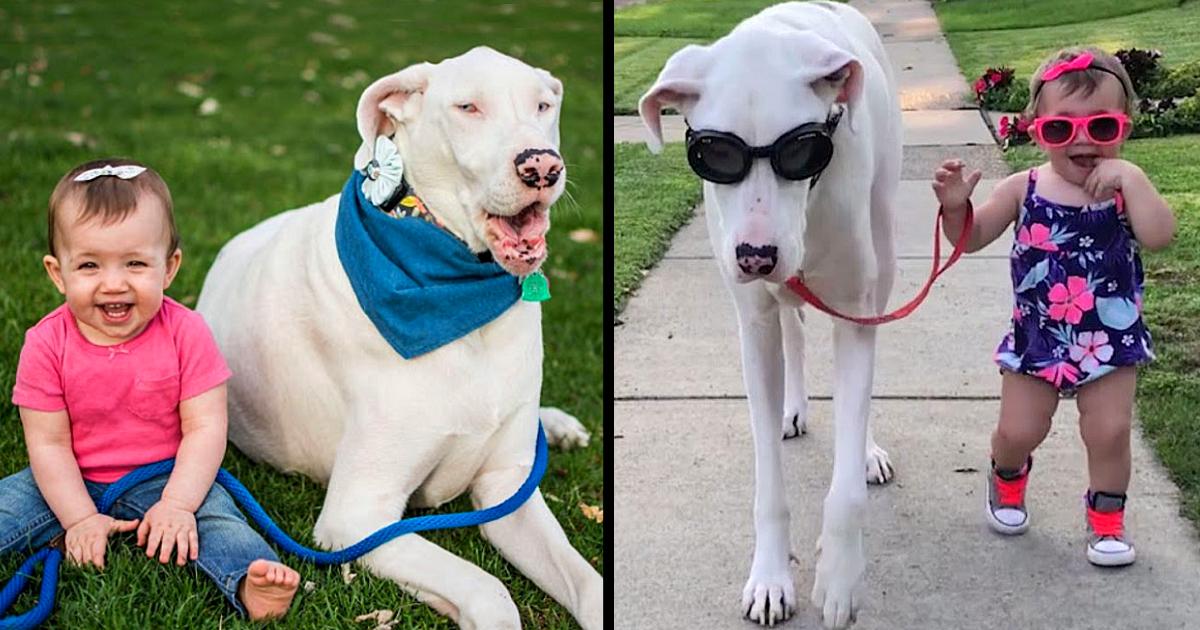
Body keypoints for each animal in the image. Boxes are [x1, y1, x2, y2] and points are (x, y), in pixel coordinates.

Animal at [200, 48, 604, 628]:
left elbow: (589, 584)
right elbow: (487, 589)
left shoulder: (508, 487)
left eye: (543, 105)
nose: (542, 166)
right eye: (467, 107)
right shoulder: (357, 519)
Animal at [638, 2, 902, 624]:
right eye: (714, 156)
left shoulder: (854, 313)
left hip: (882, 259)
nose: (755, 255)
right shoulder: (754, 328)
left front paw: (839, 575)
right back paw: (794, 407)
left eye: (803, 150)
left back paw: (867, 450)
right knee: (795, 330)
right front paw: (770, 578)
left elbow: (845, 487)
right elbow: (768, 486)